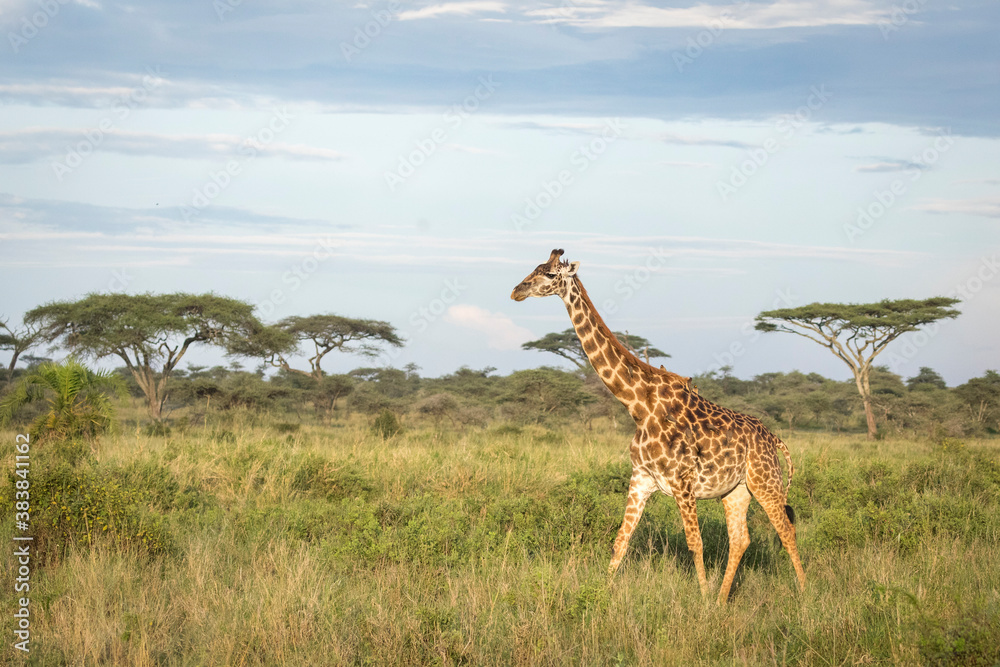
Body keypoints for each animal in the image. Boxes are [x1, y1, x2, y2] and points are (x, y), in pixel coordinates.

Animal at [511, 249, 806, 604]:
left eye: (551, 274)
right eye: (535, 268)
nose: (516, 291)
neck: (637, 404)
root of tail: (774, 439)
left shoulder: (682, 481)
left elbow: (695, 543)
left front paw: (702, 602)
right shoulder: (641, 478)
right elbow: (620, 540)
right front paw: (601, 593)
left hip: (765, 482)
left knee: (786, 531)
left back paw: (806, 597)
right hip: (736, 491)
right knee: (741, 539)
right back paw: (723, 600)